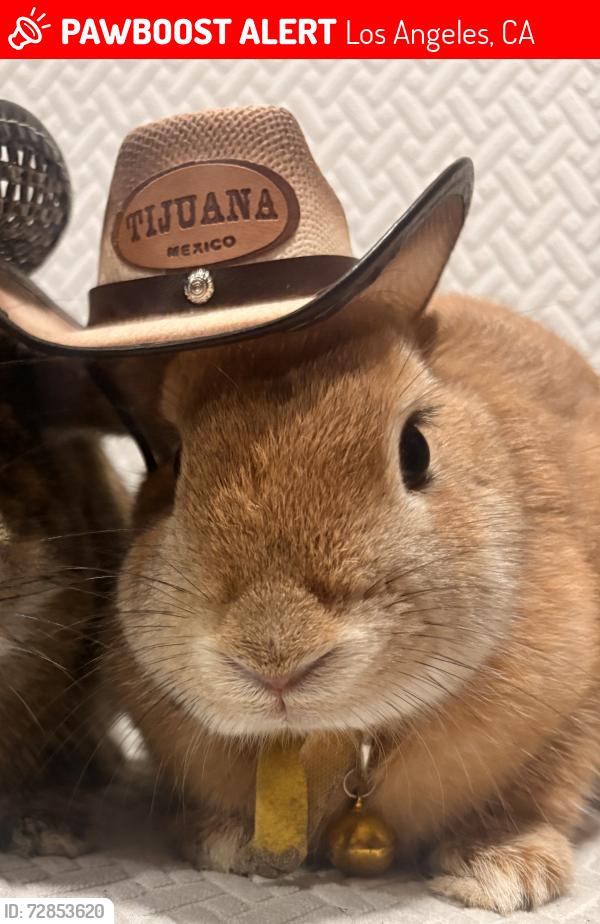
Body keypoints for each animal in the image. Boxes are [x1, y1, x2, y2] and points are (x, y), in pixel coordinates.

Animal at [109, 283, 600, 914]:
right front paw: (221, 842)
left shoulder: (573, 711)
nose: (275, 656)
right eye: (173, 463)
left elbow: (543, 792)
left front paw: (501, 872)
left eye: (416, 449)